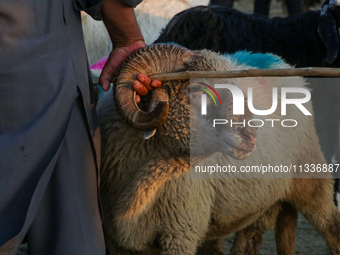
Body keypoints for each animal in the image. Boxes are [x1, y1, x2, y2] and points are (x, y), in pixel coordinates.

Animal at [97, 43, 338, 255]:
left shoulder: (181, 233)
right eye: (196, 88)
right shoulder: (115, 240)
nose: (251, 136)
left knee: (332, 227)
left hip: (311, 176)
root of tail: (280, 61)